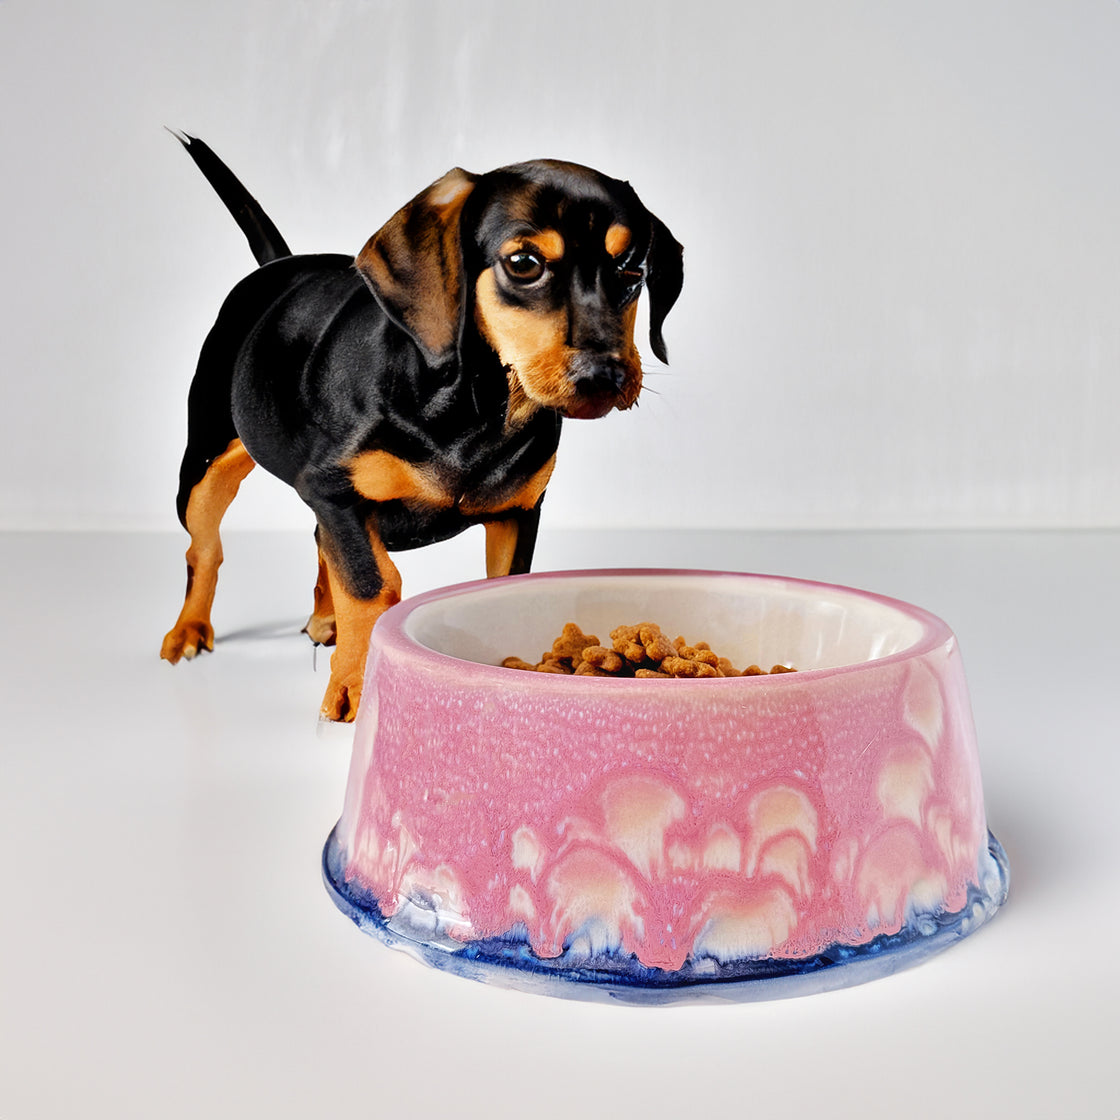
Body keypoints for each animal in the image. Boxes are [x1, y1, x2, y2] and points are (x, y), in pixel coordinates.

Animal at [160, 133, 680, 725]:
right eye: (524, 263)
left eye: (632, 270)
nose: (605, 376)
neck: (472, 411)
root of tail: (281, 266)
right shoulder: (332, 490)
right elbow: (371, 585)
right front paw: (356, 684)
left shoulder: (518, 513)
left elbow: (499, 582)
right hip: (204, 470)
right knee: (204, 549)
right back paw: (189, 629)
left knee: (317, 542)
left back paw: (324, 617)